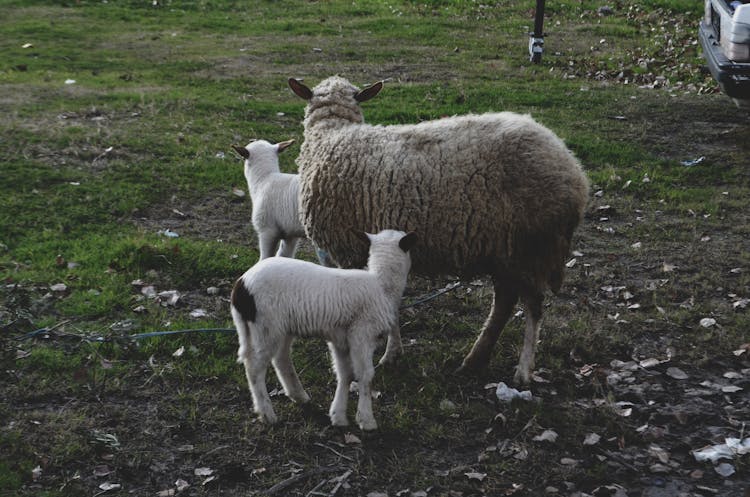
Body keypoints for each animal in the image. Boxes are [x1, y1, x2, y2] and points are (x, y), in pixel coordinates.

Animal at [229, 227, 418, 428]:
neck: (382, 284)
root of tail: (241, 286)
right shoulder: (361, 335)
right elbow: (365, 375)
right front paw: (366, 419)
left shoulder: (340, 340)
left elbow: (345, 374)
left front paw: (338, 416)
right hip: (266, 327)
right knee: (255, 368)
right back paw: (266, 413)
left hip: (277, 328)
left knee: (280, 358)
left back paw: (298, 395)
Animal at [290, 75, 592, 382]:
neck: (331, 135)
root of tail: (574, 172)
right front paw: (392, 352)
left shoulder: (347, 250)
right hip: (506, 252)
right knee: (505, 302)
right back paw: (474, 360)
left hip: (527, 247)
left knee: (532, 305)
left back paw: (523, 369)